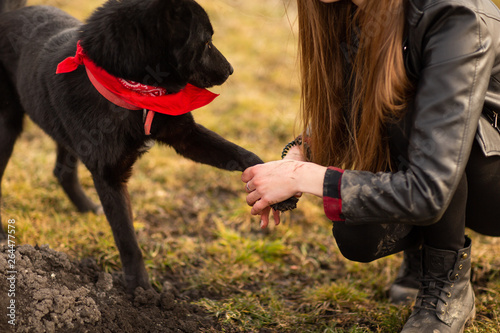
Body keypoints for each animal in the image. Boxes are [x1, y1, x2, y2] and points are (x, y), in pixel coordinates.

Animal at [0, 0, 294, 290]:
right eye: (207, 41)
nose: (231, 70)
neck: (136, 94)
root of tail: (11, 13)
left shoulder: (185, 136)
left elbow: (240, 153)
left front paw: (278, 187)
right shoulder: (110, 177)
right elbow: (127, 239)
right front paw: (140, 289)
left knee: (62, 171)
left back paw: (86, 208)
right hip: (8, 129)